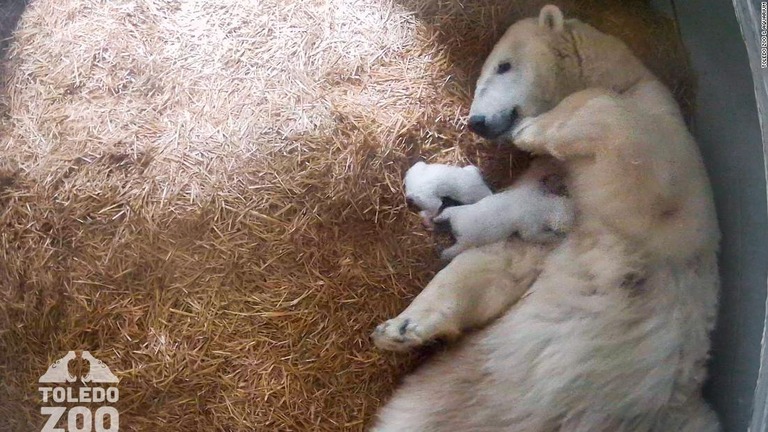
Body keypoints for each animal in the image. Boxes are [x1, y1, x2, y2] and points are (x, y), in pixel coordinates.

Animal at [370, 4, 720, 432]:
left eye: (503, 66)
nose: (477, 122)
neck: (623, 78)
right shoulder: (542, 193)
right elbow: (502, 260)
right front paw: (400, 328)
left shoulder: (669, 149)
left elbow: (635, 169)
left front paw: (532, 130)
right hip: (450, 391)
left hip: (680, 409)